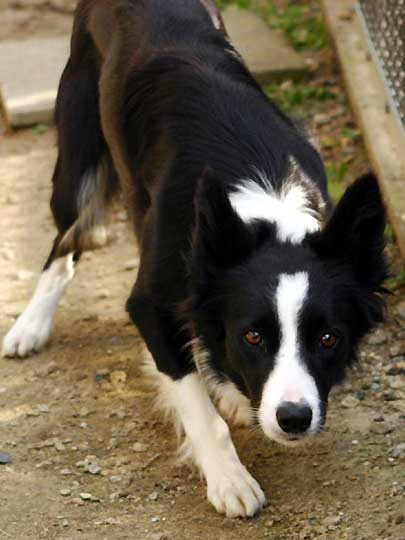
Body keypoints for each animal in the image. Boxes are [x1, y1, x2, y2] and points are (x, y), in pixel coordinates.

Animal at [2, 0, 388, 518]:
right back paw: (30, 325)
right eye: (252, 336)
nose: (293, 418)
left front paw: (230, 391)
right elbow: (196, 403)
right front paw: (230, 479)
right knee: (64, 243)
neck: (263, 209)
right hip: (77, 154)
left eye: (329, 338)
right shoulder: (149, 302)